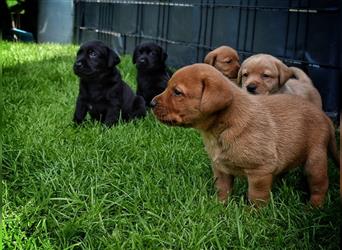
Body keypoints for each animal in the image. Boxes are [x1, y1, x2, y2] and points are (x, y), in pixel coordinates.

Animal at [152, 63, 340, 207]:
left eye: (177, 92)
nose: (152, 103)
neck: (223, 128)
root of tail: (325, 117)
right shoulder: (220, 168)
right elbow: (222, 188)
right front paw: (220, 206)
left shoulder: (260, 171)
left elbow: (256, 196)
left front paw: (253, 215)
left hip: (315, 160)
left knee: (320, 186)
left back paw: (313, 208)